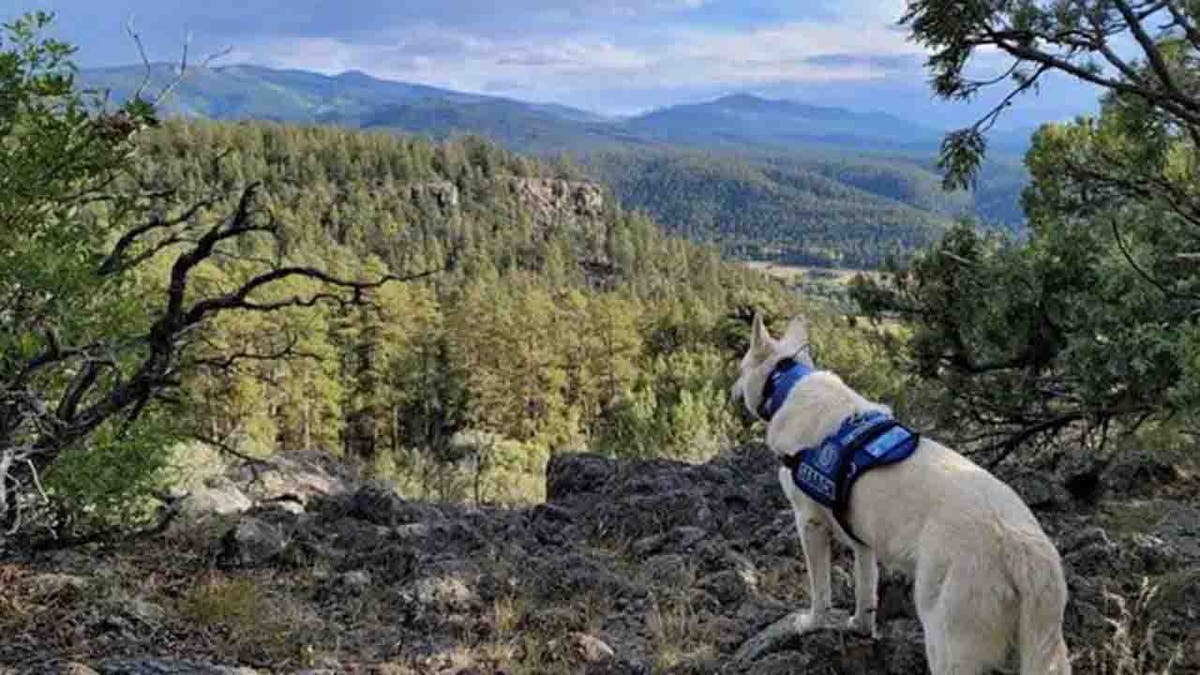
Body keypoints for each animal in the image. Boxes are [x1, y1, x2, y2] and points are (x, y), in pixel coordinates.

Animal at [729, 314, 1070, 672]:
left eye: (740, 368)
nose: (732, 390)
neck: (788, 383)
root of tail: (1024, 549)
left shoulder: (809, 523)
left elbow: (819, 591)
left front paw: (810, 623)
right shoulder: (862, 540)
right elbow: (866, 591)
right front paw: (860, 627)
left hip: (947, 641)